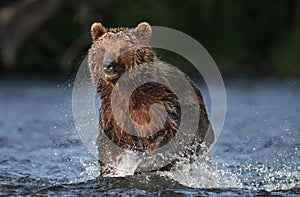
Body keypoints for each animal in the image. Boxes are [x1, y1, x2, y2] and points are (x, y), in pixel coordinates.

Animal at [88, 22, 214, 175]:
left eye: (122, 48)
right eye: (103, 49)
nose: (108, 65)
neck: (125, 89)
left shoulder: (159, 103)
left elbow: (167, 134)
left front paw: (142, 167)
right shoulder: (111, 113)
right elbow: (109, 144)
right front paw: (109, 170)